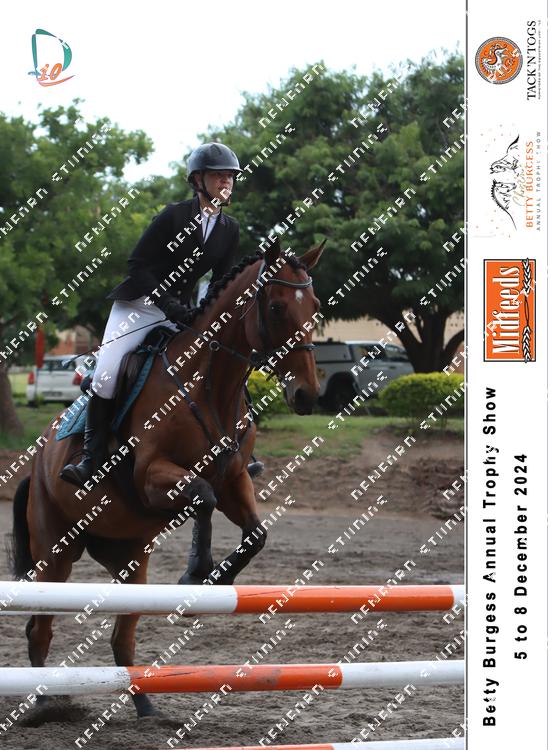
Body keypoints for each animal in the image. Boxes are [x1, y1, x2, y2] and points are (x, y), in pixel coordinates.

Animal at [9, 239, 325, 720]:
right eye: (275, 307)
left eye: (317, 308)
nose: (306, 395)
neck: (211, 385)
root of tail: (39, 457)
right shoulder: (151, 477)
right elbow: (203, 497)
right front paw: (196, 575)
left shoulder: (235, 478)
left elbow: (254, 532)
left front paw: (215, 581)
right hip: (54, 550)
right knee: (39, 628)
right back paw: (44, 703)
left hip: (129, 558)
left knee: (122, 636)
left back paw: (146, 708)